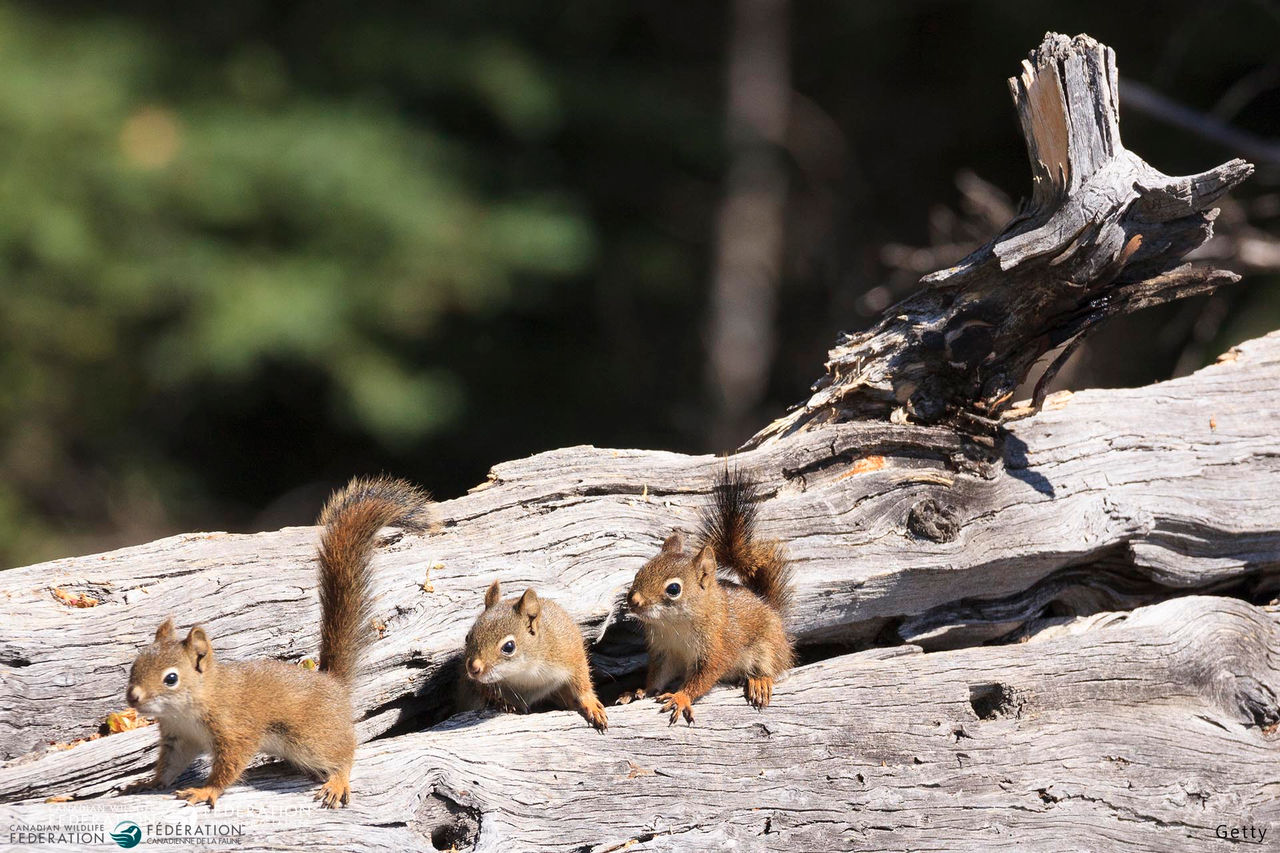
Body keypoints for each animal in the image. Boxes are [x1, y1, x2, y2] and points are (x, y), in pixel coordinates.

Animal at [120, 475, 435, 809]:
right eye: (135, 665)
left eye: (171, 678)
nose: (133, 697)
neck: (192, 705)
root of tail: (333, 684)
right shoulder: (179, 739)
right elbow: (170, 766)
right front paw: (148, 783)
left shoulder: (236, 731)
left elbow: (229, 766)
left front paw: (207, 790)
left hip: (311, 738)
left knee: (345, 752)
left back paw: (338, 780)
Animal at [457, 580, 608, 731]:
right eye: (467, 637)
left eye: (509, 647)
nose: (473, 668)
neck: (525, 671)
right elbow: (483, 689)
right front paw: (503, 702)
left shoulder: (570, 651)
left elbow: (582, 680)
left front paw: (591, 705)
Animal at [617, 467, 793, 724]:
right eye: (640, 571)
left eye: (673, 589)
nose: (634, 601)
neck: (674, 625)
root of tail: (771, 610)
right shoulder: (666, 652)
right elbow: (658, 677)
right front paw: (639, 691)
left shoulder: (716, 648)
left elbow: (704, 677)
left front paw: (680, 697)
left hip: (769, 648)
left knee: (775, 667)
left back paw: (760, 681)